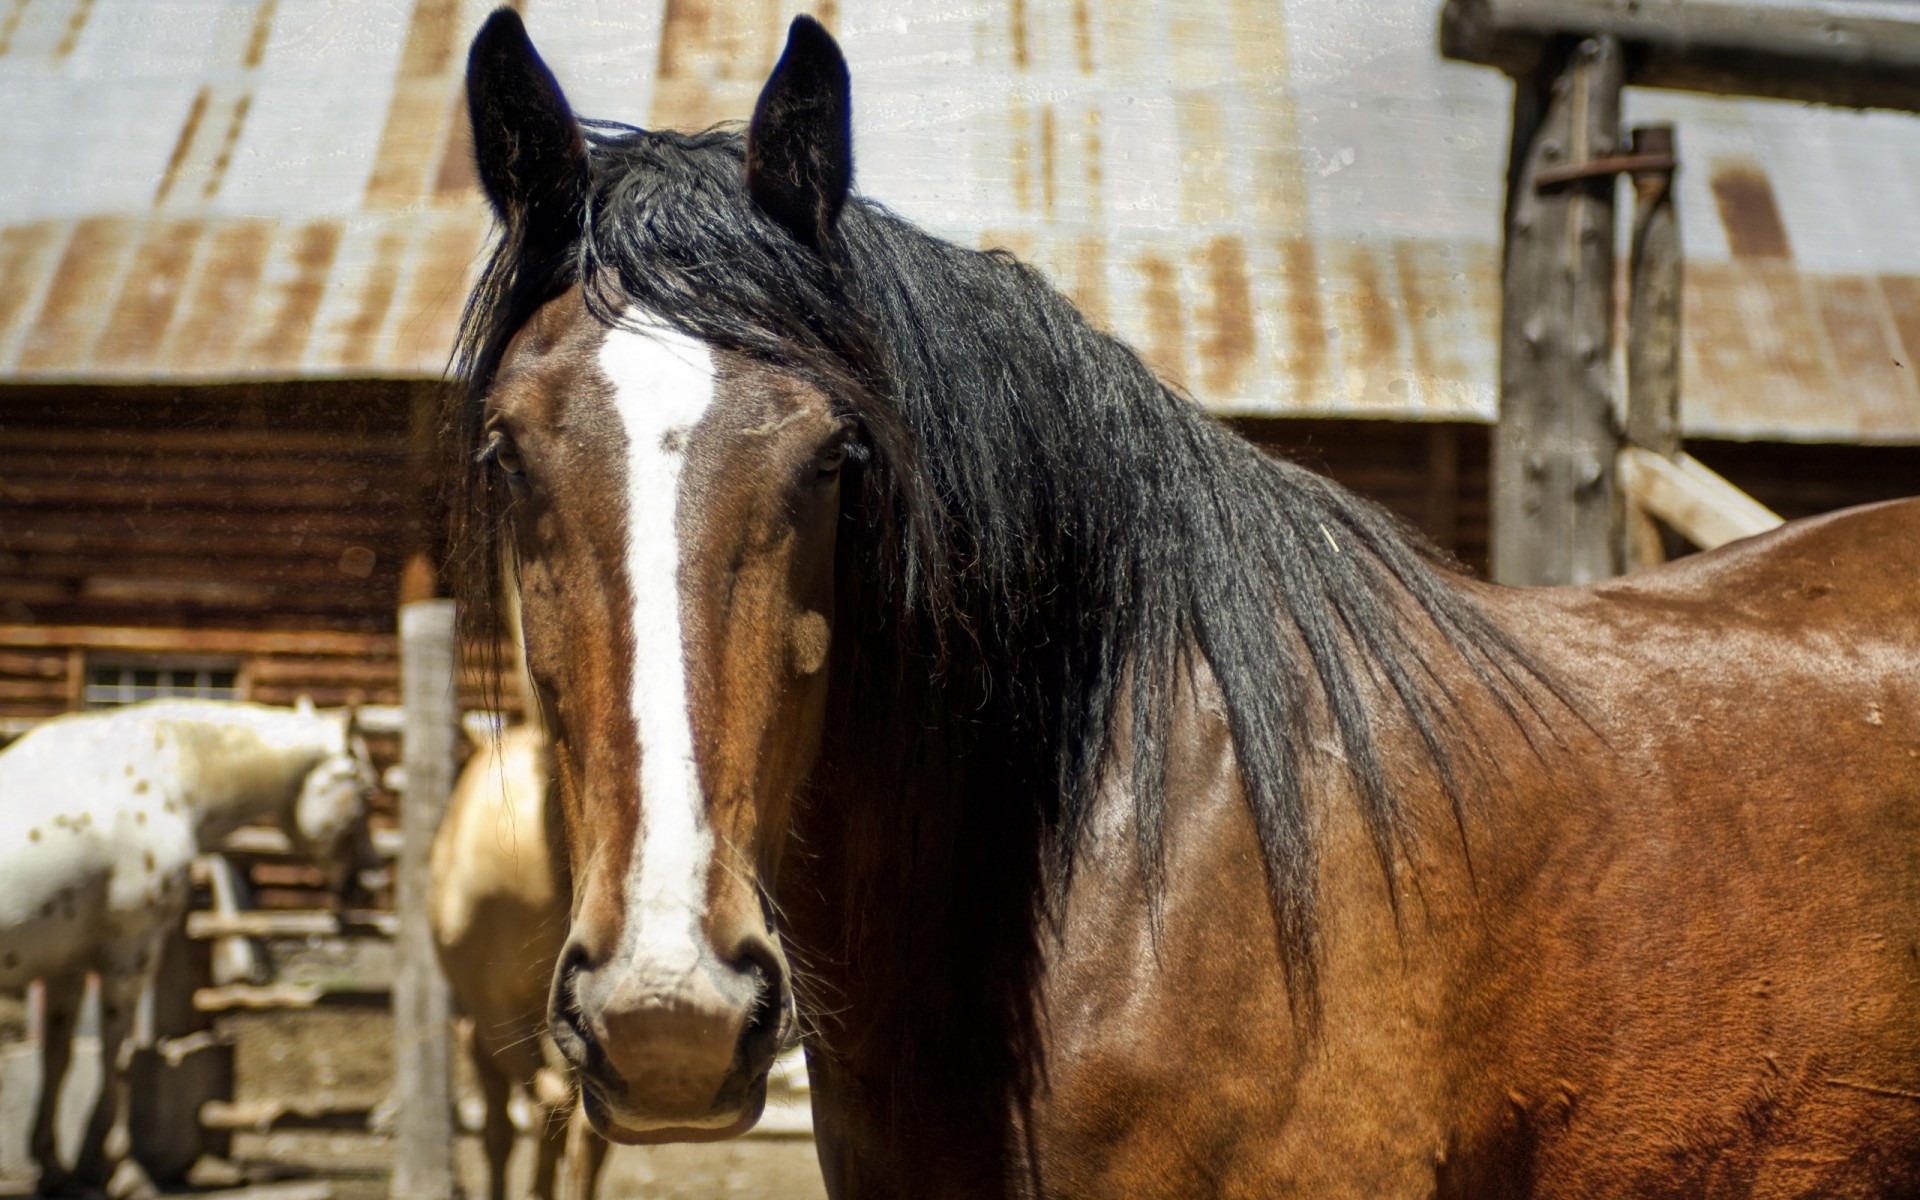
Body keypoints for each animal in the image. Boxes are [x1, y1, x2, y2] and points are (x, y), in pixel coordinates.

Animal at [0, 699, 373, 1198]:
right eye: (366, 790)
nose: (368, 879)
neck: (162, 778)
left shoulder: (68, 966)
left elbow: (57, 1060)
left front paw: (57, 1169)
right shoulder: (130, 955)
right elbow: (118, 1058)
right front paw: (123, 1171)